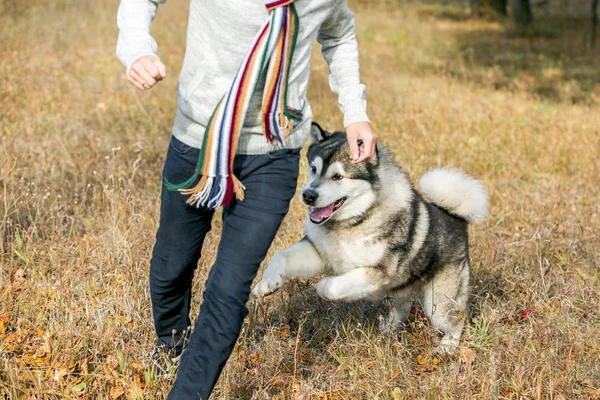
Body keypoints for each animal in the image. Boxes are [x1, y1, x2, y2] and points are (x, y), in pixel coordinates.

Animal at [251, 122, 490, 354]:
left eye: (338, 176)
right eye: (314, 169)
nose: (308, 195)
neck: (355, 219)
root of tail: (455, 217)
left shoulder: (376, 273)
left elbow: (330, 287)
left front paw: (324, 286)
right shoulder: (318, 252)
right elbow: (280, 257)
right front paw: (267, 284)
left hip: (438, 301)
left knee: (456, 320)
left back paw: (446, 347)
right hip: (402, 287)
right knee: (403, 305)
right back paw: (390, 326)